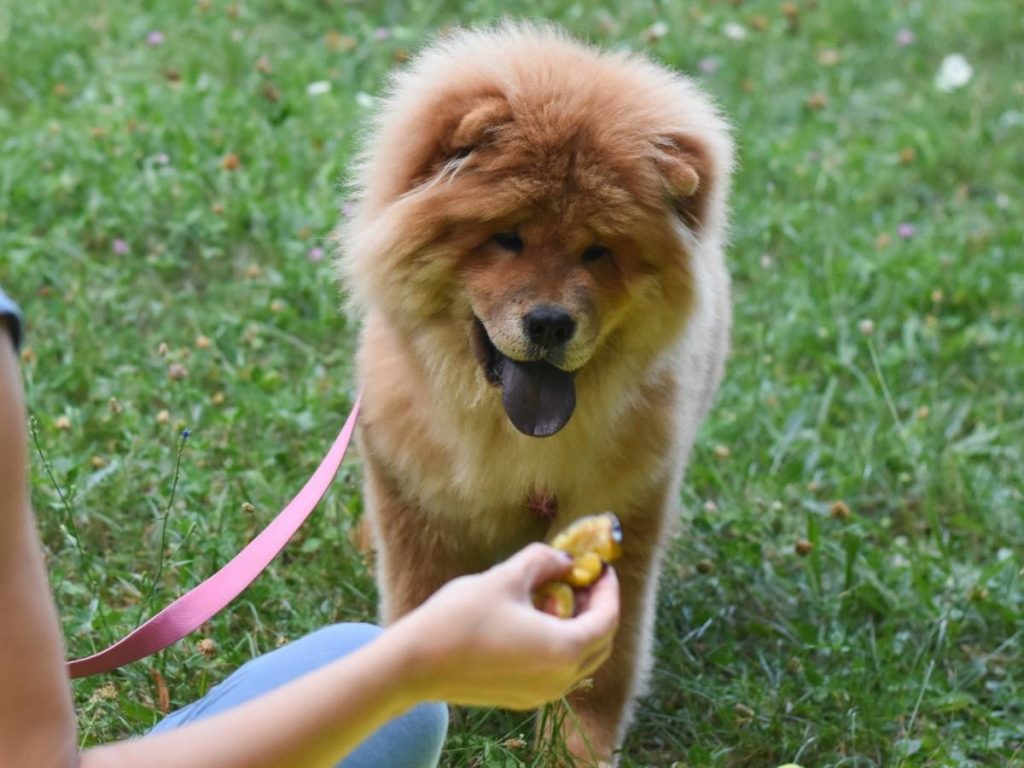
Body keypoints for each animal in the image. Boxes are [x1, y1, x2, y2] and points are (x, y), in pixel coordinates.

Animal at [337, 22, 737, 765]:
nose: (550, 322)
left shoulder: (626, 504)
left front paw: (573, 749)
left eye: (597, 252)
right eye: (506, 239)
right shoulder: (414, 495)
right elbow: (417, 602)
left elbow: (604, 667)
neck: (505, 430)